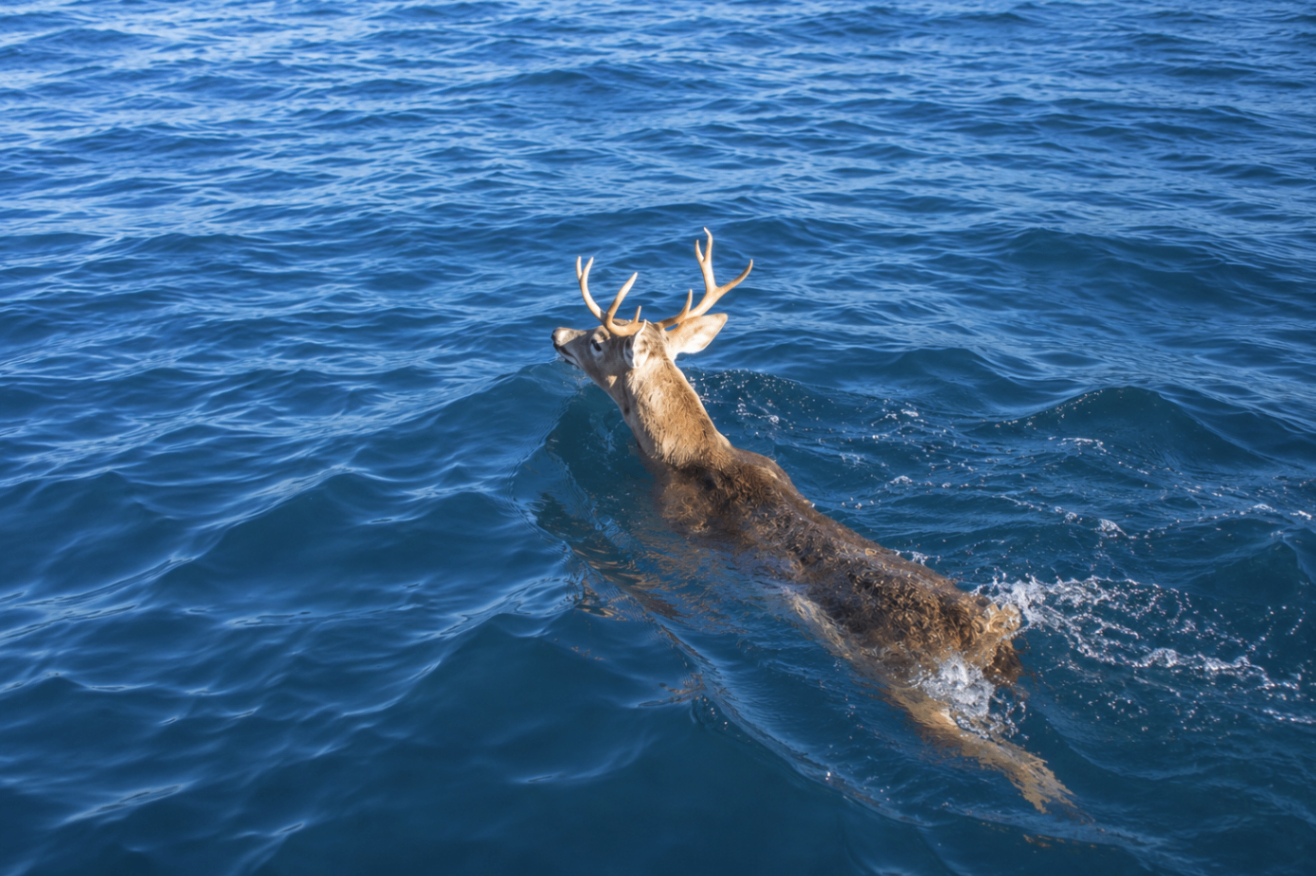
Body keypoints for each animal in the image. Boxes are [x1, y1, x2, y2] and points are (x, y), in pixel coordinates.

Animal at [551, 230, 1073, 812]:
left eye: (598, 340)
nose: (556, 333)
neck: (685, 453)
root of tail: (993, 630)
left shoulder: (668, 526)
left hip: (907, 685)